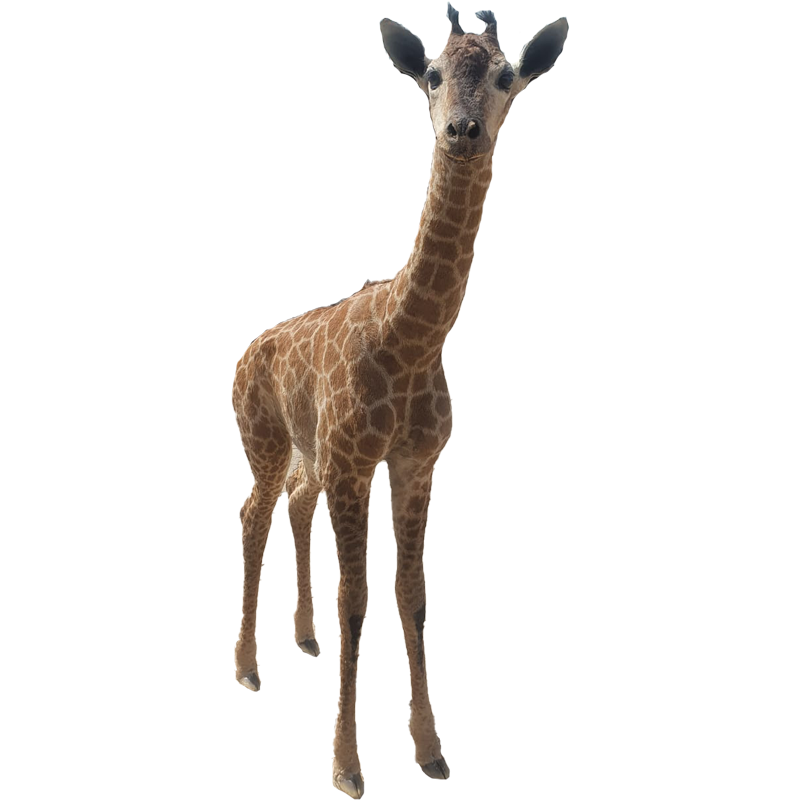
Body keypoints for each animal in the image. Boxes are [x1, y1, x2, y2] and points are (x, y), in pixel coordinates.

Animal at [232, 6, 568, 797]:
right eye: (433, 75)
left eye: (508, 76)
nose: (463, 130)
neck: (408, 340)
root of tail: (248, 350)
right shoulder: (357, 464)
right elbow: (358, 600)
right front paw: (348, 766)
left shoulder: (414, 464)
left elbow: (411, 595)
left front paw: (431, 749)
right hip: (265, 440)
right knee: (253, 514)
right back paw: (250, 668)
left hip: (311, 453)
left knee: (291, 502)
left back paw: (302, 640)